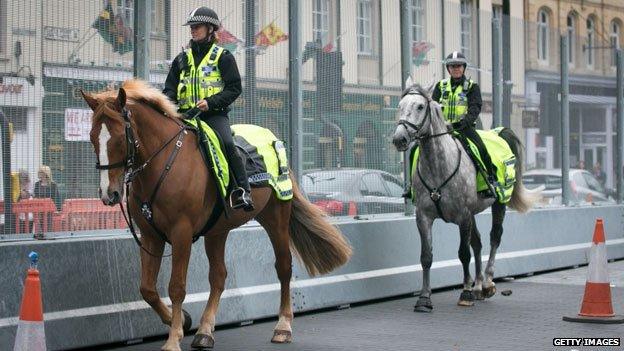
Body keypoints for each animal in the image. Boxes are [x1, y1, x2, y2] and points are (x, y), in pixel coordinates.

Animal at [81, 80, 352, 351]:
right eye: (92, 137)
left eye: (119, 138)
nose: (109, 194)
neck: (164, 164)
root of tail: (274, 139)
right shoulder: (150, 236)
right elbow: (147, 288)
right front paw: (181, 322)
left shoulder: (181, 233)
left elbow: (176, 286)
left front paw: (173, 338)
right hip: (217, 231)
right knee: (219, 276)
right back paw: (205, 331)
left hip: (276, 219)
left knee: (283, 267)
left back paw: (283, 327)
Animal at [392, 78, 540, 312]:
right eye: (400, 106)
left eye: (420, 106)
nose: (400, 139)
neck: (439, 166)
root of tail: (499, 133)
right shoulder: (424, 217)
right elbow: (426, 256)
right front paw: (424, 298)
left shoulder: (462, 216)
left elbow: (463, 253)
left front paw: (466, 293)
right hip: (472, 214)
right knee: (478, 242)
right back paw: (478, 286)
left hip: (498, 204)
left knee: (494, 237)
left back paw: (487, 283)